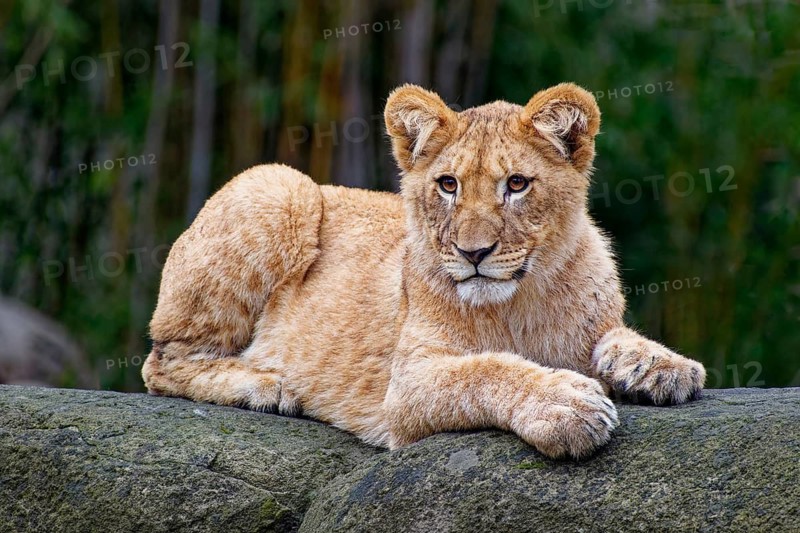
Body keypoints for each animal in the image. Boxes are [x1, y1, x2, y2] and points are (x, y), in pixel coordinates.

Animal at [142, 83, 706, 459]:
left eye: (517, 184)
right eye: (448, 184)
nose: (473, 252)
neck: (519, 303)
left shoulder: (591, 326)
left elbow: (617, 336)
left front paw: (664, 366)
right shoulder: (406, 385)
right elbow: (486, 371)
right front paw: (566, 405)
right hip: (282, 187)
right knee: (162, 362)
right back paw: (267, 385)